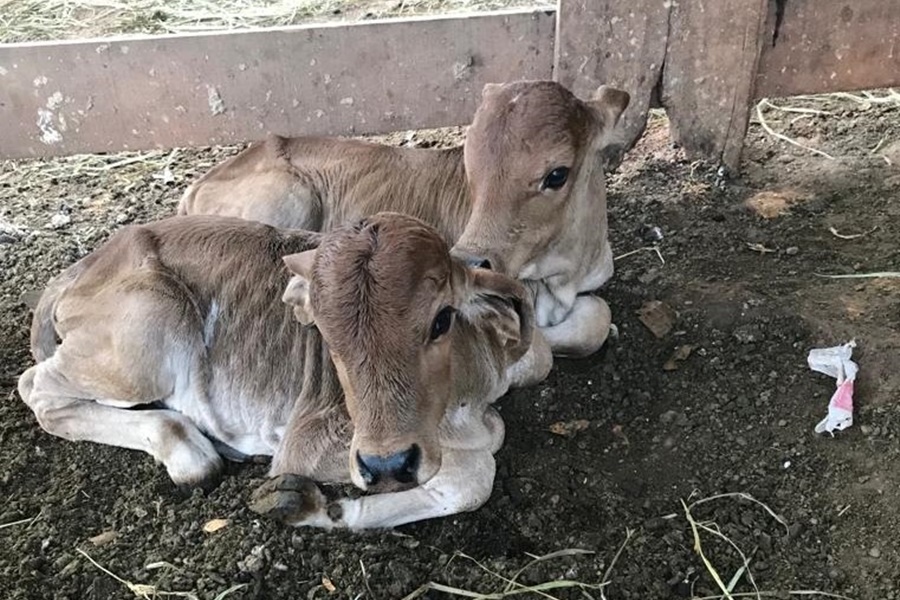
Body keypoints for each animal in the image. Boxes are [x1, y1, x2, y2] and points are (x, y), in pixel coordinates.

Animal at [17, 213, 552, 528]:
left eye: (443, 318)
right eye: (327, 336)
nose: (387, 465)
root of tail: (82, 266)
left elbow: (539, 358)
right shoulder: (308, 441)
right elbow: (475, 470)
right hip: (147, 334)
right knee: (36, 387)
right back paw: (191, 452)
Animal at [181, 82, 632, 358]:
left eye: (557, 174)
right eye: (470, 166)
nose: (469, 259)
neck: (566, 271)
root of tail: (199, 183)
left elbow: (596, 318)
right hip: (288, 198)